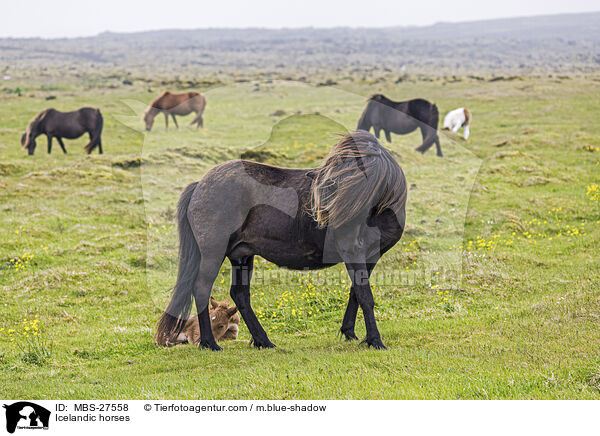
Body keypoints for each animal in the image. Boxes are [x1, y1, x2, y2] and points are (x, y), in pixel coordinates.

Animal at [155, 129, 408, 350]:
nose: (321, 212)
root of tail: (200, 185)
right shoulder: (353, 251)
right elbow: (365, 295)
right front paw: (375, 340)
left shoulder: (370, 256)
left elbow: (356, 292)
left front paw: (350, 333)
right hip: (213, 253)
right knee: (202, 289)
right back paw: (210, 343)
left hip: (242, 255)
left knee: (240, 295)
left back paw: (262, 341)